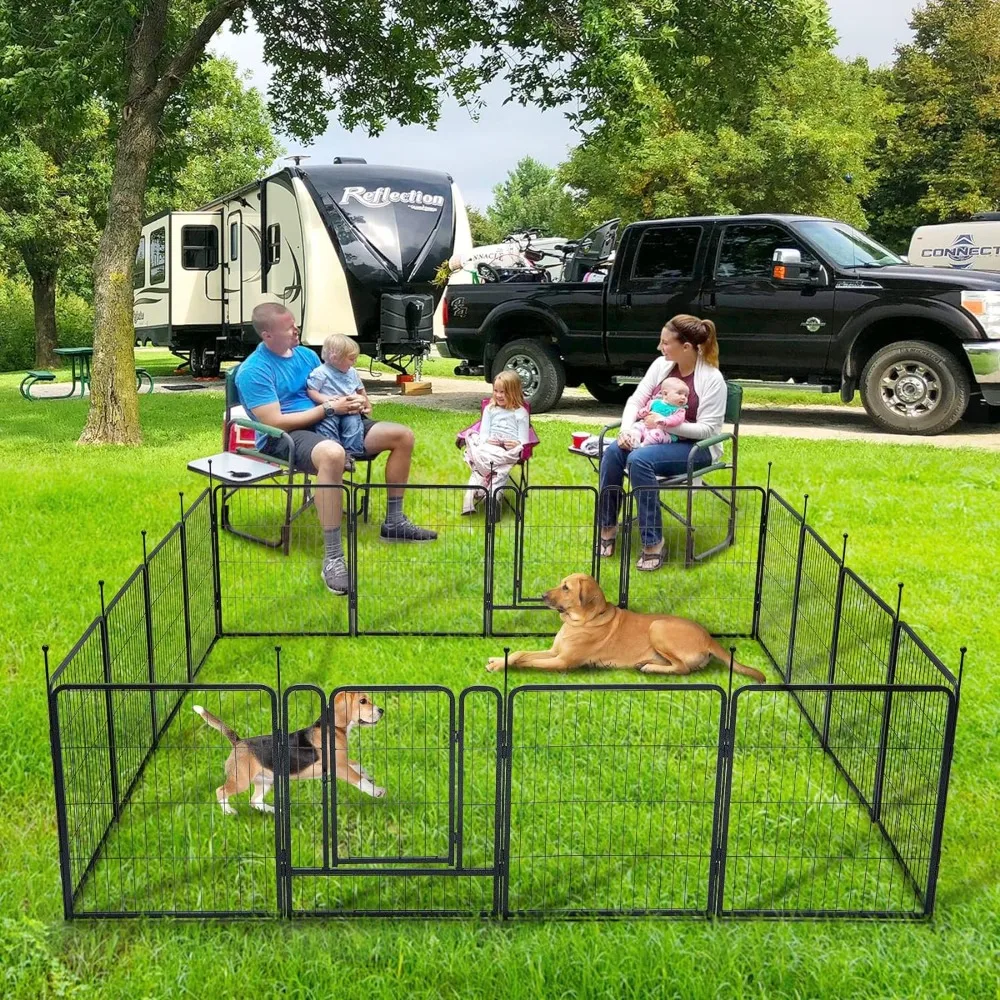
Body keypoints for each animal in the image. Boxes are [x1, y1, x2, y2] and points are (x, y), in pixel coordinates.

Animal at [193, 692, 384, 816]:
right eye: (363, 701)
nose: (381, 710)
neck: (333, 727)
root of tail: (239, 742)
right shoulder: (339, 766)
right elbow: (359, 780)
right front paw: (376, 791)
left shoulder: (343, 760)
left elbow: (357, 764)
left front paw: (367, 774)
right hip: (241, 780)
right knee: (221, 791)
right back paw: (228, 811)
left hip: (266, 781)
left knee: (254, 801)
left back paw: (274, 810)